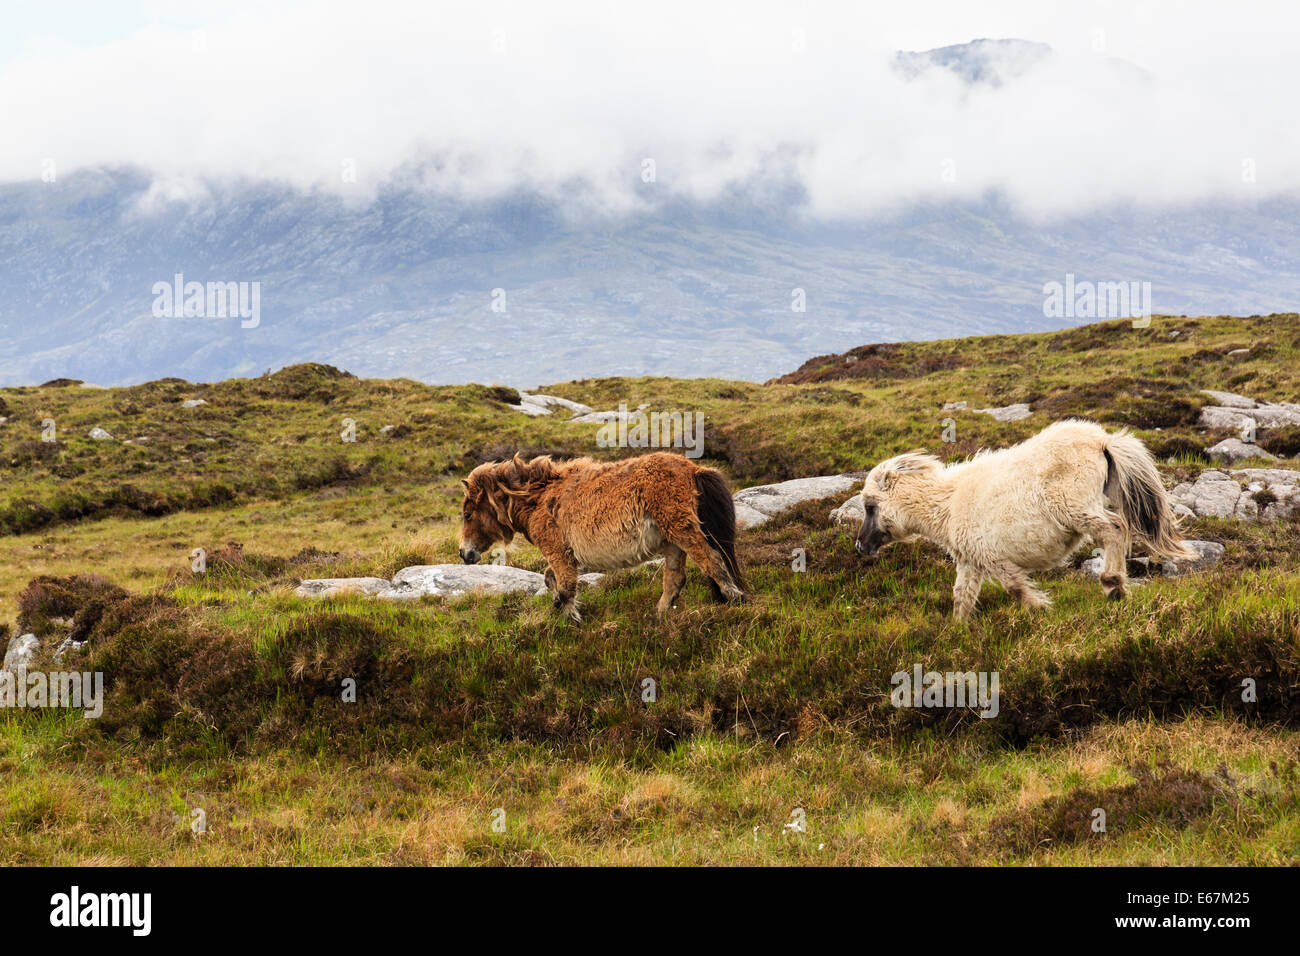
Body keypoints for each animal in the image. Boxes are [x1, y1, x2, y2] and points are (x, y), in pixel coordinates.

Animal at [460, 452, 748, 624]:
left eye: (467, 514)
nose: (464, 554)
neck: (537, 498)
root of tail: (694, 469)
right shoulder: (566, 556)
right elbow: (551, 579)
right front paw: (563, 609)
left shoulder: (558, 553)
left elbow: (565, 587)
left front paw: (572, 620)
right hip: (672, 541)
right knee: (675, 579)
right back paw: (659, 616)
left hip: (681, 530)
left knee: (713, 561)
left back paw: (737, 600)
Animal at [852, 421, 1196, 621]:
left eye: (870, 505)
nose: (860, 546)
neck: (948, 504)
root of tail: (1101, 441)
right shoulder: (970, 561)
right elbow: (962, 598)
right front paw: (958, 632)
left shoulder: (993, 558)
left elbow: (1015, 587)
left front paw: (1040, 609)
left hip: (1075, 507)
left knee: (1113, 529)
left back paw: (1113, 586)